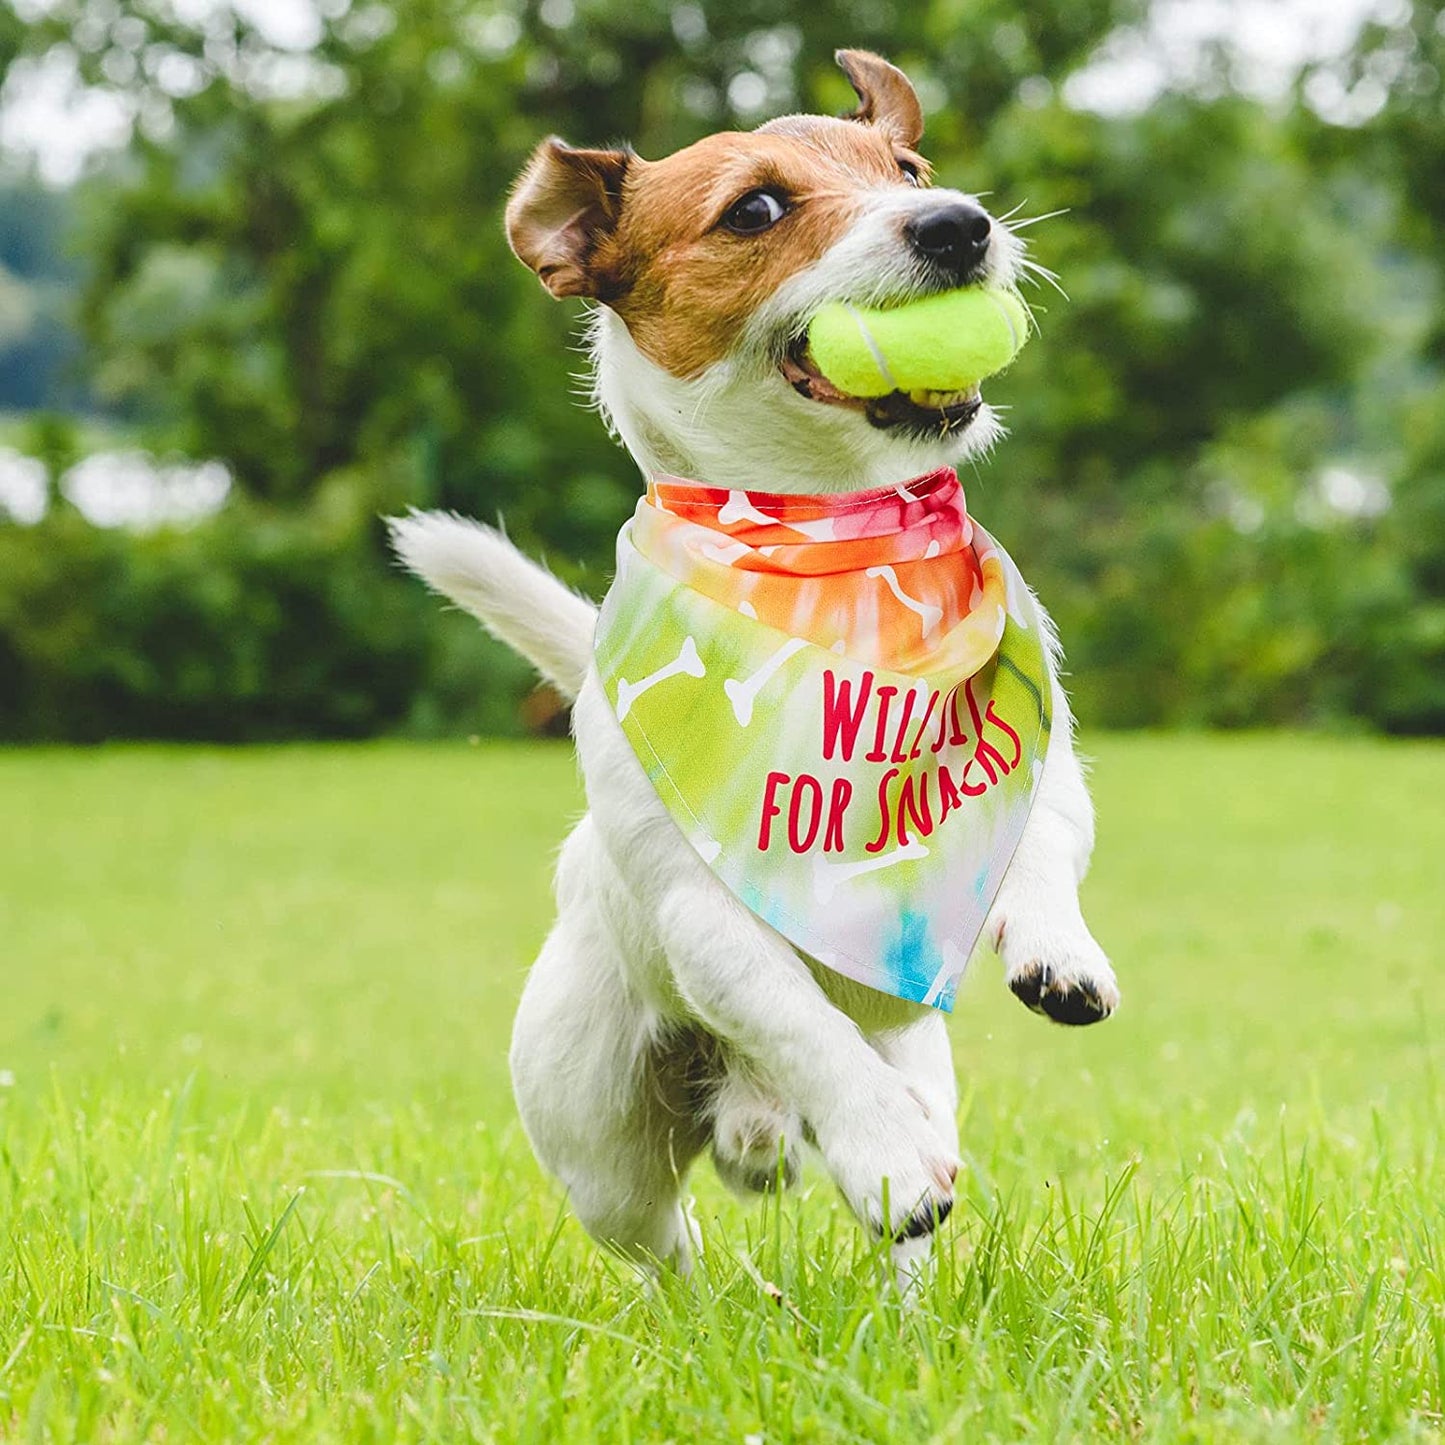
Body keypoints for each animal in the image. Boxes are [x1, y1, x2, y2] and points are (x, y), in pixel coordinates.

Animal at [387, 50, 1115, 1283]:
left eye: (907, 167)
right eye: (756, 210)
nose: (957, 224)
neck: (835, 550)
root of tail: (740, 1105)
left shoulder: (1037, 765)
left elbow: (1041, 850)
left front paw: (1056, 949)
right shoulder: (705, 916)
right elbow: (797, 1017)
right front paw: (881, 1151)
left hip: (915, 1062)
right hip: (601, 1142)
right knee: (668, 1251)